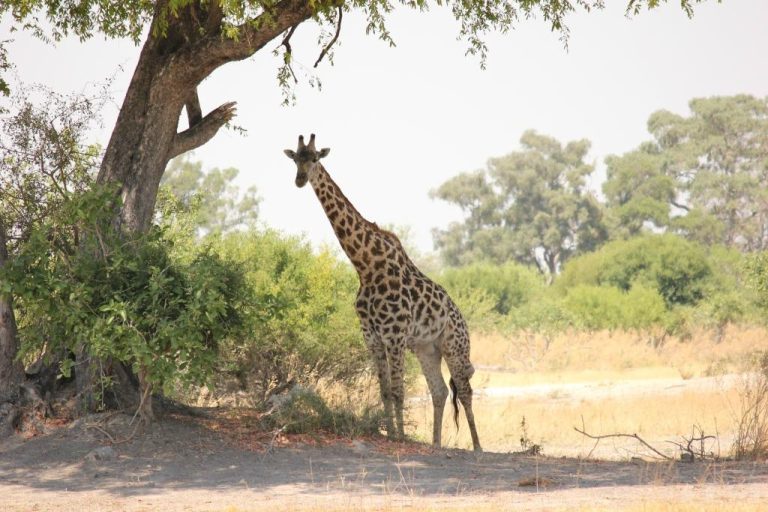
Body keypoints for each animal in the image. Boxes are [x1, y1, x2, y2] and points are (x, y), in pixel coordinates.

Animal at [283, 134, 481, 452]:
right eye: (295, 160)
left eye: (314, 158)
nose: (300, 180)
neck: (365, 266)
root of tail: (462, 319)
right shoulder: (373, 337)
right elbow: (385, 391)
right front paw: (388, 433)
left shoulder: (394, 335)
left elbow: (399, 390)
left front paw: (399, 436)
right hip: (427, 348)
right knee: (439, 391)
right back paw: (436, 443)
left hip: (455, 346)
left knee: (464, 391)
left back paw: (477, 446)